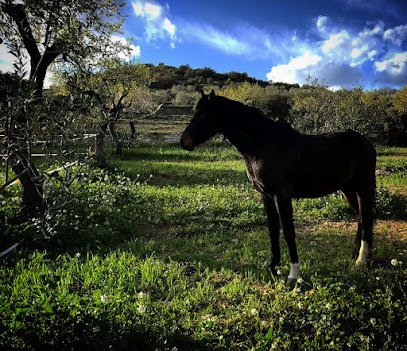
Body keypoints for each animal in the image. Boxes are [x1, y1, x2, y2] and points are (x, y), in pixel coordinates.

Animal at [180, 91, 378, 286]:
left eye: (203, 114)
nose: (184, 142)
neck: (263, 144)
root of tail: (368, 143)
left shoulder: (282, 196)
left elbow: (289, 232)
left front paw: (292, 275)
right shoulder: (266, 195)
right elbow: (273, 229)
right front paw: (273, 266)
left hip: (363, 188)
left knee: (367, 218)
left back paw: (361, 261)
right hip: (347, 190)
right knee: (361, 217)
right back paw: (358, 255)